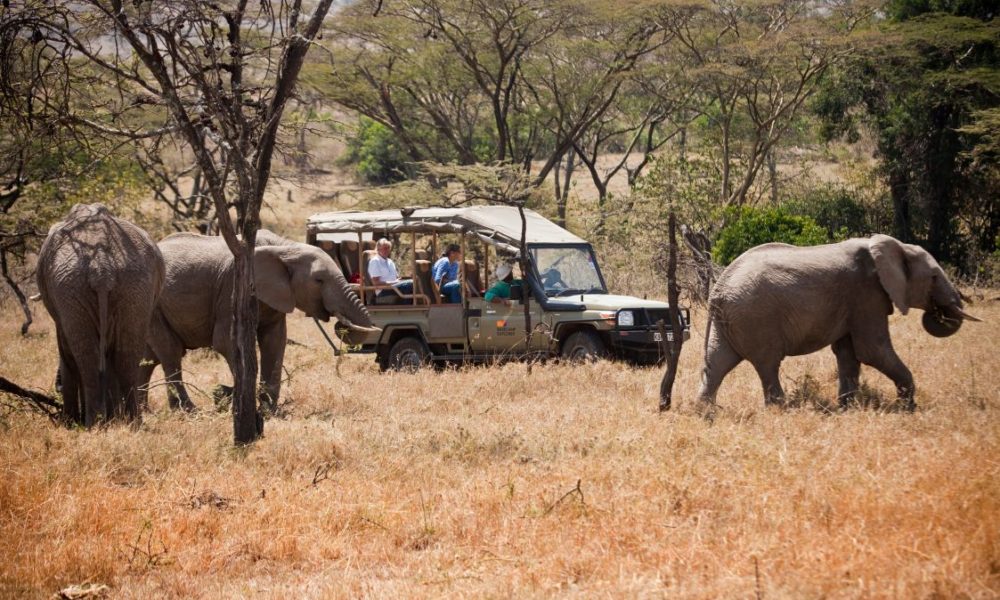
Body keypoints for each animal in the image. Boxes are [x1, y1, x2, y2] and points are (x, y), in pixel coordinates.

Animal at [36, 204, 166, 424]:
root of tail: (102, 267)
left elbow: (66, 351)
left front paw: (70, 422)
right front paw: (114, 418)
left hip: (70, 287)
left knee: (86, 356)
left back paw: (92, 424)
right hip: (134, 286)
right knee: (126, 355)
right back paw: (133, 423)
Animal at [137, 230, 376, 412]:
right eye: (319, 280)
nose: (339, 324)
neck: (286, 248)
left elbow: (275, 341)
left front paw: (269, 410)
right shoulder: (232, 290)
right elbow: (225, 341)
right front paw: (238, 401)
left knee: (147, 359)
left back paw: (143, 410)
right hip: (154, 305)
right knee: (170, 352)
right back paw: (187, 410)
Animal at [692, 234, 980, 412]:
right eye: (934, 277)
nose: (939, 312)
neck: (894, 245)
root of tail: (718, 289)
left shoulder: (854, 302)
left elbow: (848, 353)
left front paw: (847, 408)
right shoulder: (866, 295)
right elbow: (872, 350)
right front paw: (908, 408)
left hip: (729, 320)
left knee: (717, 362)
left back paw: (705, 412)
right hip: (756, 317)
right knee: (767, 363)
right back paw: (779, 409)